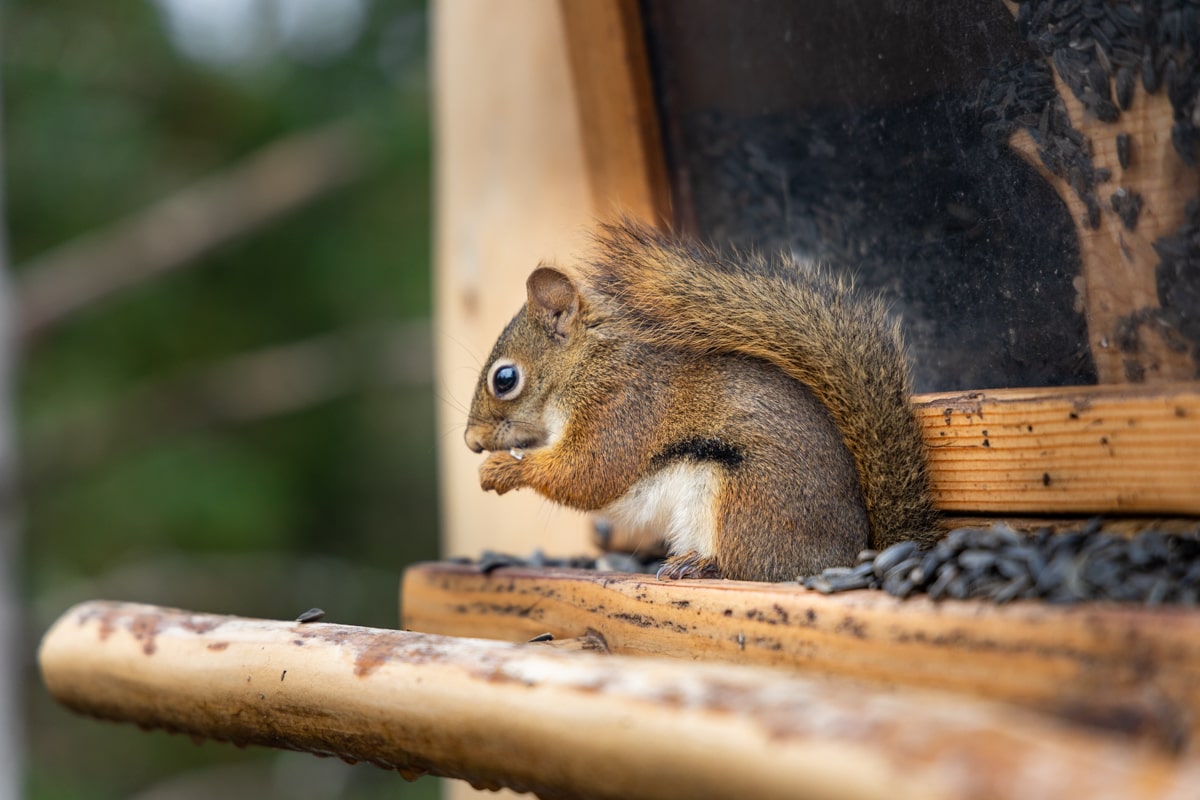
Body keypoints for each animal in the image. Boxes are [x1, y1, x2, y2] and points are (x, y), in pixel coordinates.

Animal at [463, 219, 940, 582]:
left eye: (505, 379)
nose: (471, 442)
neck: (585, 365)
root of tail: (851, 554)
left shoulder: (621, 405)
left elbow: (590, 472)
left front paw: (502, 469)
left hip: (745, 501)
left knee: (751, 567)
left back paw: (703, 565)